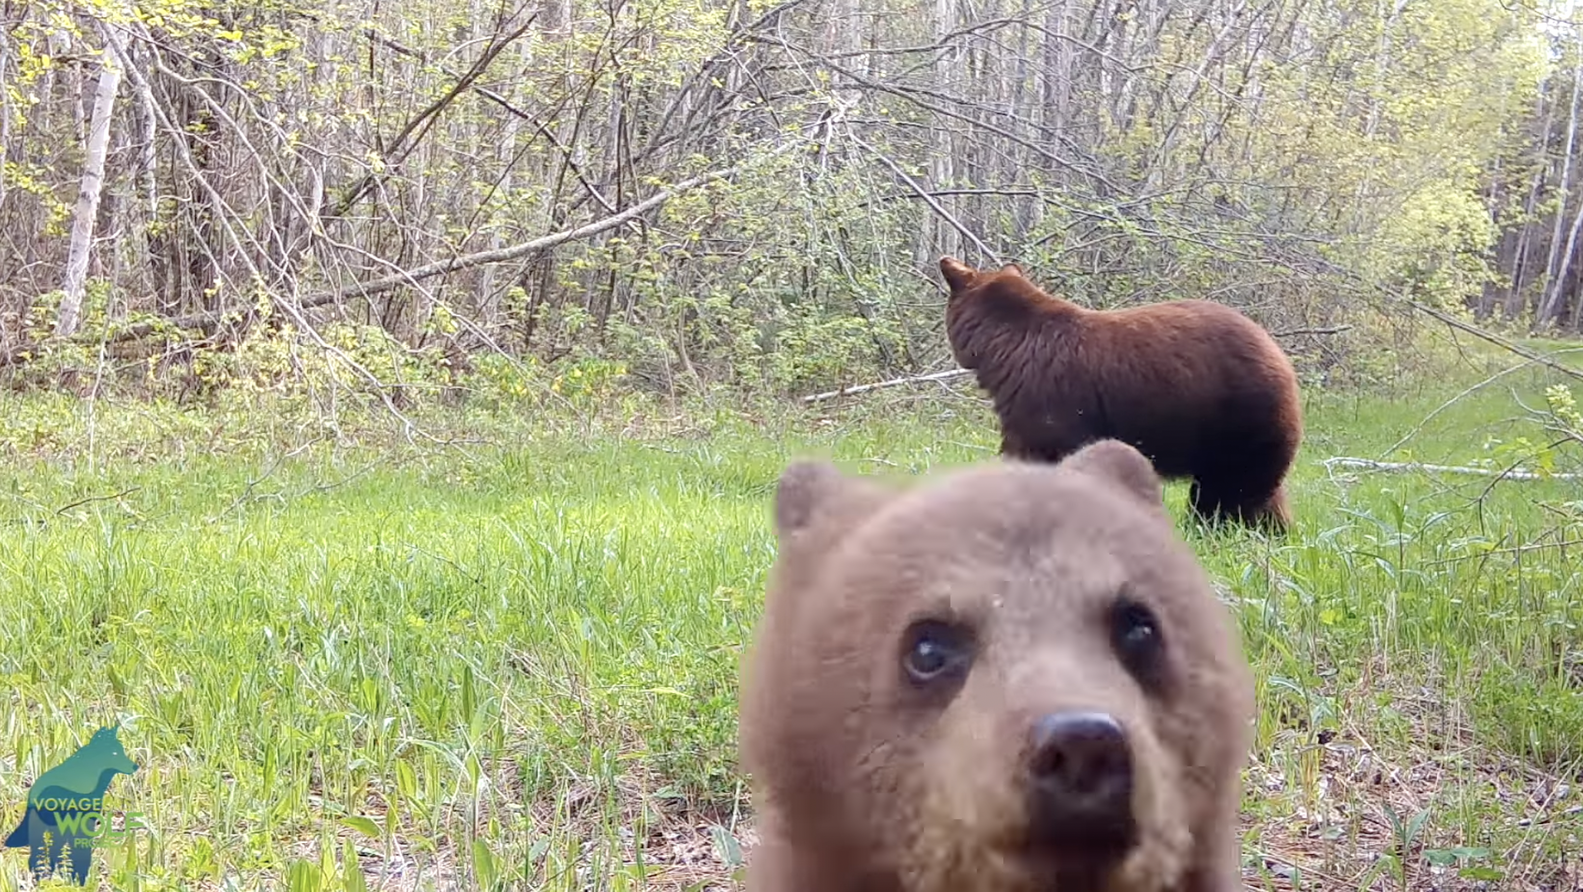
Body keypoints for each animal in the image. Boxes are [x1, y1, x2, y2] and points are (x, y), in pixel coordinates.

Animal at [938, 256, 1303, 533]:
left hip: (1238, 420)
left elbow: (1041, 451)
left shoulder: (1044, 396)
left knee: (1228, 489)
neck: (1004, 348)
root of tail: (1282, 359)